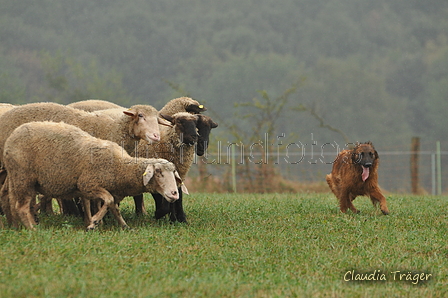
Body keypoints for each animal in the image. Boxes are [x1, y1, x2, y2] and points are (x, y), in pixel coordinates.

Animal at [3, 122, 182, 229]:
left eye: (174, 174)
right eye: (158, 172)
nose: (175, 194)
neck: (119, 166)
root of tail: (11, 138)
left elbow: (114, 206)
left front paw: (123, 225)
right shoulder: (88, 185)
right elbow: (108, 200)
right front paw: (93, 222)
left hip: (16, 178)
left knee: (11, 201)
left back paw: (16, 226)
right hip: (24, 178)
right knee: (21, 207)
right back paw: (33, 228)